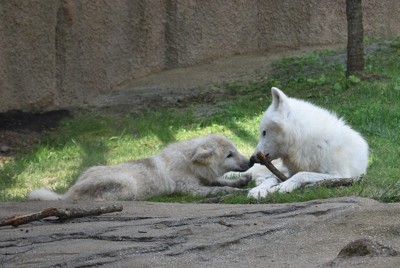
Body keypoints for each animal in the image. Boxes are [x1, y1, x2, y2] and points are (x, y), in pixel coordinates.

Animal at [28, 134, 250, 201]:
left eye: (235, 150)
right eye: (229, 155)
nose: (250, 162)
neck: (189, 163)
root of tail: (66, 193)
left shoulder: (205, 178)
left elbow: (221, 180)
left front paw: (242, 181)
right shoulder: (191, 189)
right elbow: (218, 188)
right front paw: (234, 191)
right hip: (126, 185)